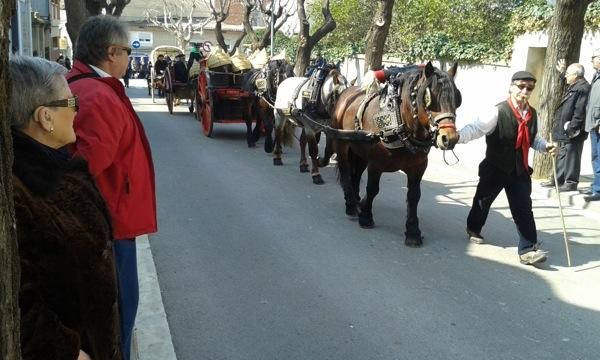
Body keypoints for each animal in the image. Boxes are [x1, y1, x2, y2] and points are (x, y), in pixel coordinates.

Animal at [324, 62, 460, 248]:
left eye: (457, 98)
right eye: (429, 98)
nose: (450, 138)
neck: (399, 123)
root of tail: (346, 92)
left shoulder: (418, 168)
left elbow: (414, 196)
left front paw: (413, 231)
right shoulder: (376, 164)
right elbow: (373, 189)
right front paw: (366, 216)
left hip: (360, 151)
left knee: (356, 174)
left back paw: (356, 199)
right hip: (342, 145)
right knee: (345, 171)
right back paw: (351, 204)